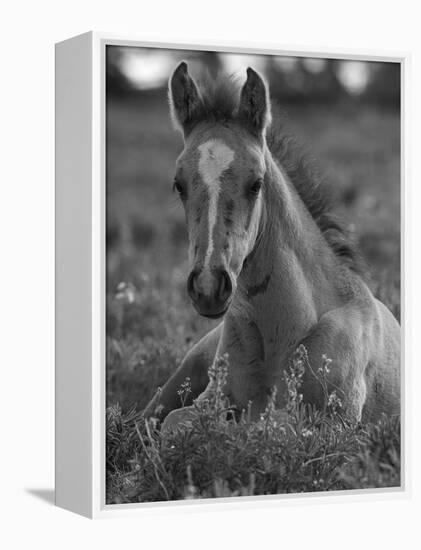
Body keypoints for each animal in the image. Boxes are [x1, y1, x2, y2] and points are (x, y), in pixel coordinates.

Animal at [143, 63, 398, 426]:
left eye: (256, 183)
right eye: (179, 184)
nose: (208, 286)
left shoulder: (334, 420)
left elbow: (262, 424)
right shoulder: (209, 400)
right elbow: (174, 424)